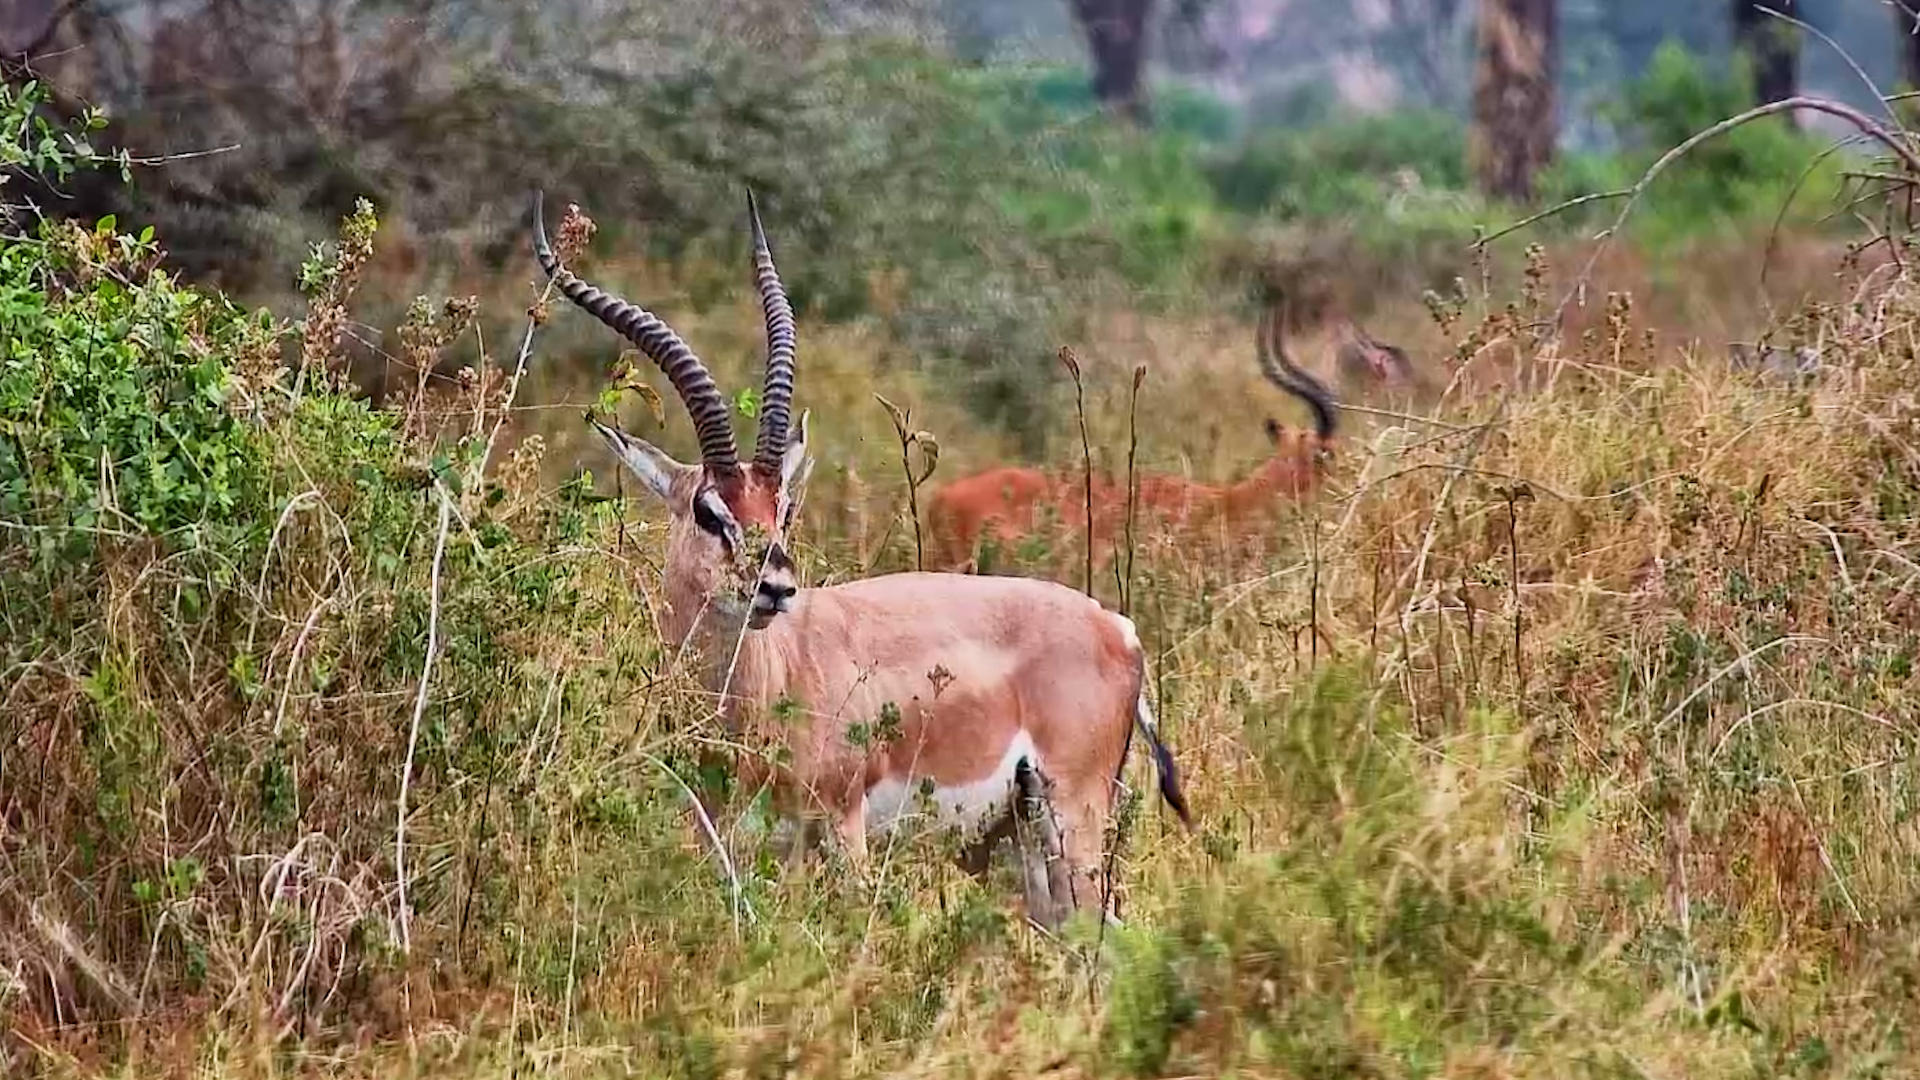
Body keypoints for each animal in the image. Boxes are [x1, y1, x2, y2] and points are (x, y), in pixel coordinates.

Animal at [533, 189, 1191, 930]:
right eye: (709, 510)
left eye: (784, 506)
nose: (776, 587)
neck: (762, 692)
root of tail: (1119, 629)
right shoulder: (727, 844)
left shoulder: (842, 827)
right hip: (1024, 842)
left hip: (1071, 818)